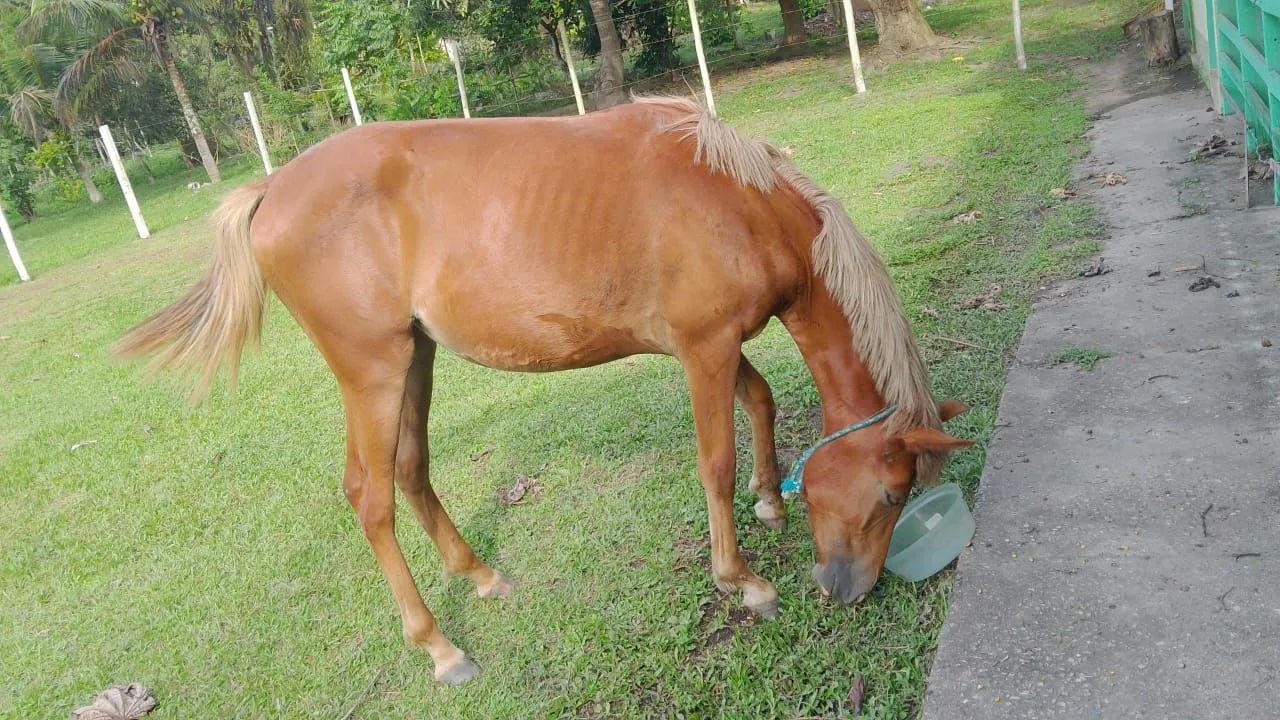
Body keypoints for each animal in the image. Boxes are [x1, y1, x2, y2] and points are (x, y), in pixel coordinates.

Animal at [117, 96, 971, 685]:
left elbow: (758, 403)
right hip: (373, 370)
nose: (846, 590)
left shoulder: (716, 346)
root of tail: (271, 188)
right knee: (369, 496)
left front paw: (771, 498)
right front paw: (743, 580)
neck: (738, 200)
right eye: (892, 495)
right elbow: (715, 463)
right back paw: (439, 645)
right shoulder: (705, 348)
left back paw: (480, 575)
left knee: (411, 471)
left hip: (416, 358)